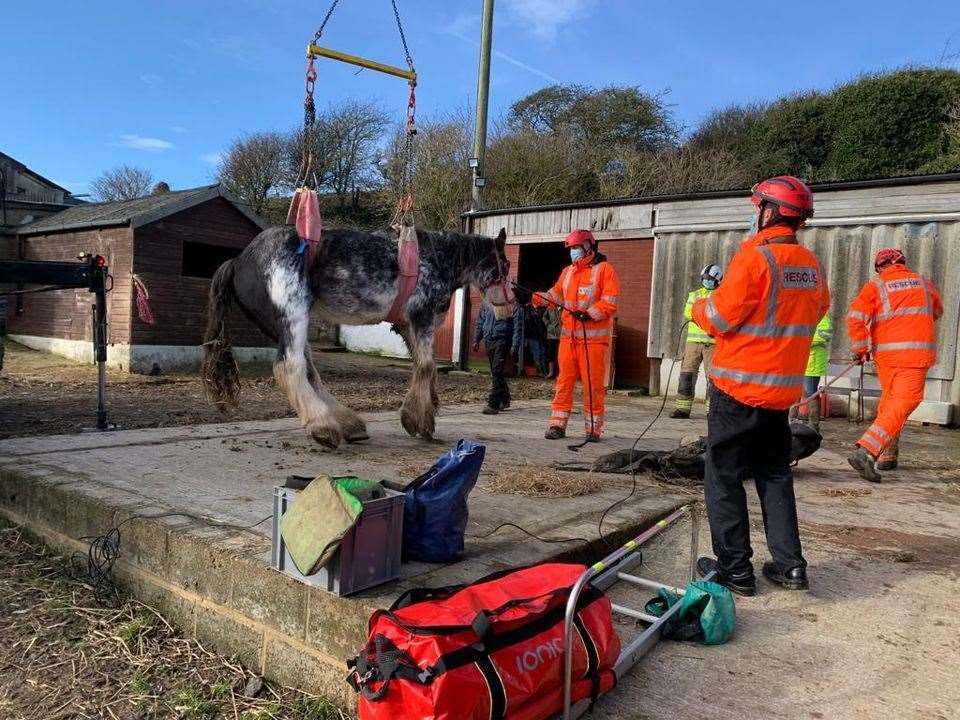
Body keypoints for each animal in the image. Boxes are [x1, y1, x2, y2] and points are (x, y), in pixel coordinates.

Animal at [202, 225, 512, 450]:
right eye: (506, 266)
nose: (511, 304)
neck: (435, 259)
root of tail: (239, 261)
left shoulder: (407, 326)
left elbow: (424, 369)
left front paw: (426, 416)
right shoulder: (420, 317)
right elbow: (426, 367)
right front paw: (417, 421)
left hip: (280, 327)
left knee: (310, 372)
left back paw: (348, 425)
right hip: (294, 317)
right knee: (290, 367)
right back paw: (324, 427)